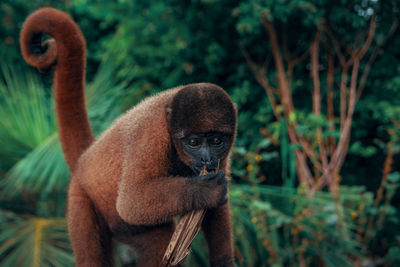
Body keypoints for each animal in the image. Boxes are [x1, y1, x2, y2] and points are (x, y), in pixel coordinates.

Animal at [19, 7, 238, 266]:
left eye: (216, 141)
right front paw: (204, 191)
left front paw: (224, 260)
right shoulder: (151, 135)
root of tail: (86, 158)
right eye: (193, 142)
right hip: (82, 200)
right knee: (153, 237)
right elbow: (129, 202)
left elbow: (217, 209)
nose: (206, 158)